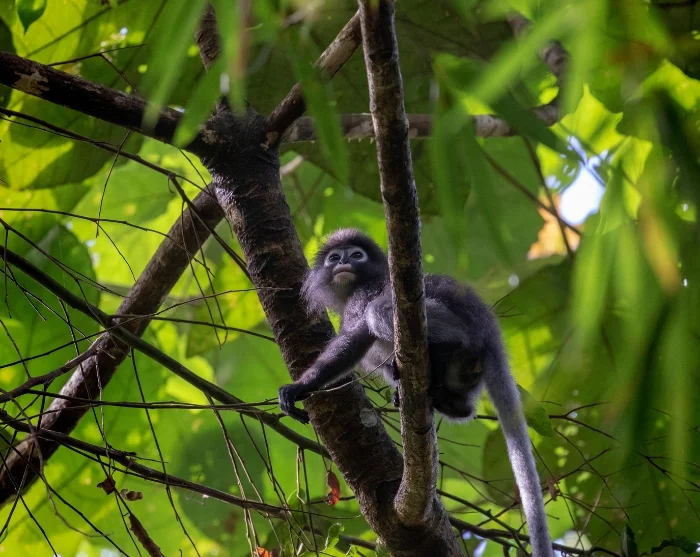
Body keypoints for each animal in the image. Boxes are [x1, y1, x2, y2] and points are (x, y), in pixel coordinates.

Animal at [278, 228, 553, 557]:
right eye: (334, 257)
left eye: (356, 255)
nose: (343, 261)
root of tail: (487, 329)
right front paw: (397, 387)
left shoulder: (362, 296)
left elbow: (353, 341)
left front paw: (300, 387)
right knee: (463, 405)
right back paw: (446, 399)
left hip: (451, 323)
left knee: (381, 312)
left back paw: (444, 349)